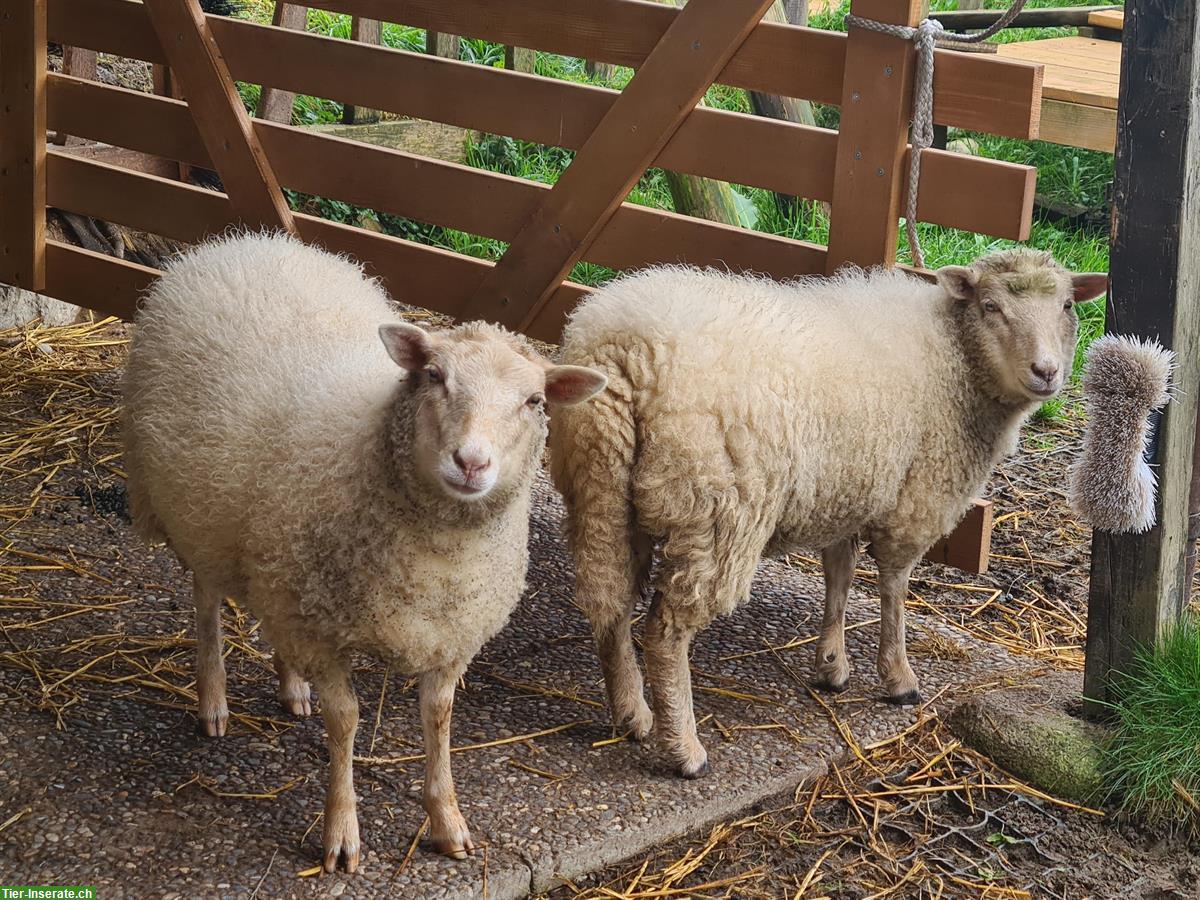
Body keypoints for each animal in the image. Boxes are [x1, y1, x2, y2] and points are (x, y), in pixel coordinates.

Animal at [125, 232, 604, 873]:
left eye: (533, 400)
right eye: (434, 375)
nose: (472, 462)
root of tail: (244, 242)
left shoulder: (447, 632)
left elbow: (439, 718)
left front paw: (447, 822)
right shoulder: (325, 633)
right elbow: (347, 721)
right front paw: (342, 833)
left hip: (276, 562)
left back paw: (291, 689)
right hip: (197, 515)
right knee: (205, 603)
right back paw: (214, 701)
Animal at [549, 250, 1108, 777]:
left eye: (1067, 305)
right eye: (991, 306)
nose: (1047, 372)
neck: (955, 355)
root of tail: (624, 350)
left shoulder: (851, 489)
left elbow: (838, 573)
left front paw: (832, 666)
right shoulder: (916, 497)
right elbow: (894, 586)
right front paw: (898, 677)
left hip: (600, 489)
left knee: (610, 602)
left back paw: (632, 712)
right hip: (720, 510)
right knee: (665, 633)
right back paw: (685, 748)